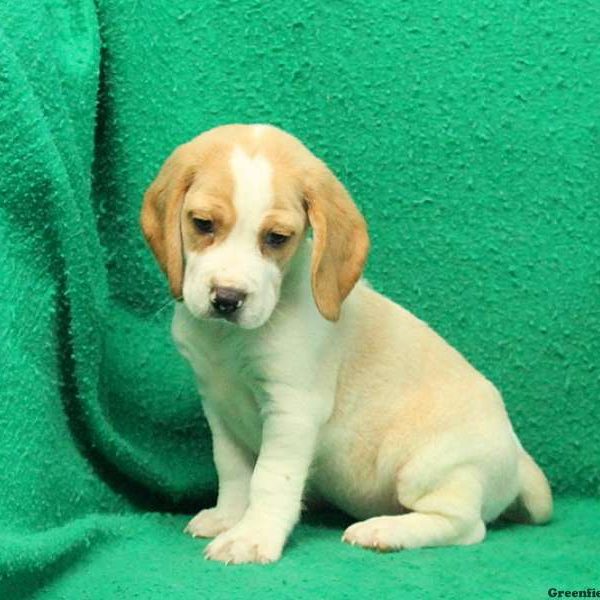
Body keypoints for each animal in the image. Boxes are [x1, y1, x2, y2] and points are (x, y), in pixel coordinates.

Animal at [141, 124, 552, 564]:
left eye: (277, 238)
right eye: (202, 224)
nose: (227, 298)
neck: (229, 340)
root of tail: (518, 458)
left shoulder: (293, 409)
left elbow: (270, 478)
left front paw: (252, 536)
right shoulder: (219, 406)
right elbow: (233, 471)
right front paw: (228, 518)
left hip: (428, 469)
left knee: (466, 525)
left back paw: (384, 530)